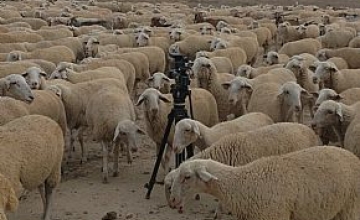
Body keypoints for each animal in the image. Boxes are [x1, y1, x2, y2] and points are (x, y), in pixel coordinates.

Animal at [168, 144, 360, 220]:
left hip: (350, 207)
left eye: (187, 177)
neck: (241, 183)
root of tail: (351, 155)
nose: (172, 201)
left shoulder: (273, 215)